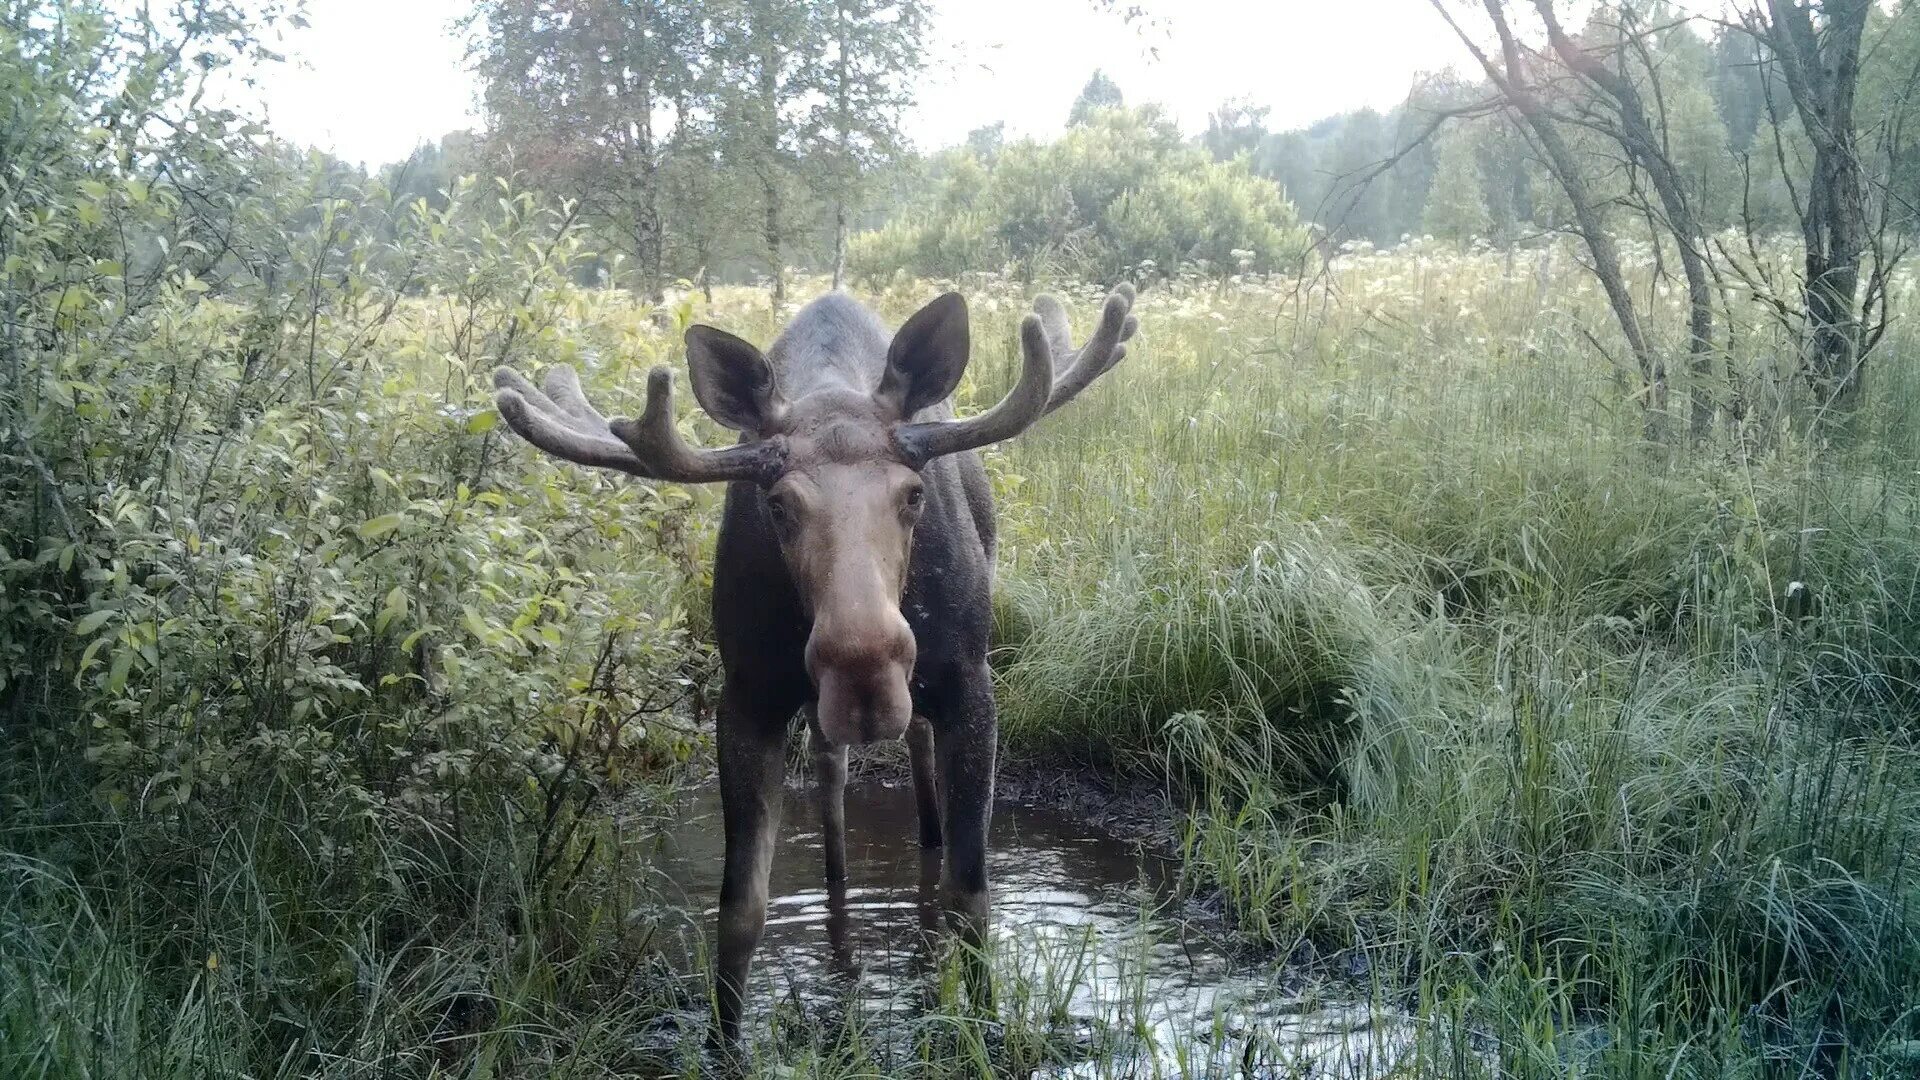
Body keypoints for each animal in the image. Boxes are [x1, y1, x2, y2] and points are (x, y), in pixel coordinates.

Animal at [495, 282, 1136, 1037]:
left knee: (919, 760)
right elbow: (740, 909)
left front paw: (983, 1025)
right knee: (832, 781)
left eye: (913, 494)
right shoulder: (747, 696)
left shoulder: (969, 678)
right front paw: (724, 1040)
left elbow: (970, 892)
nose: (865, 675)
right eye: (778, 504)